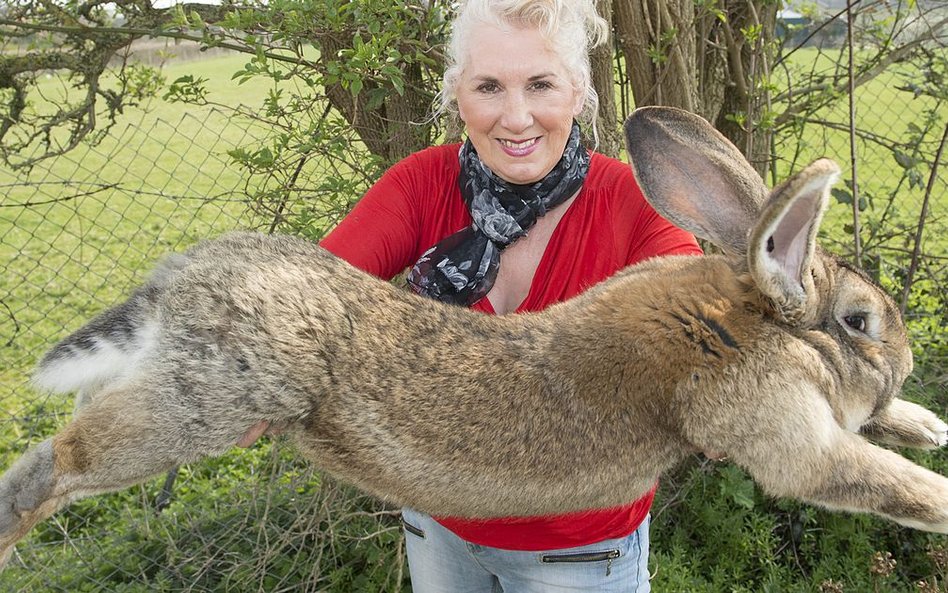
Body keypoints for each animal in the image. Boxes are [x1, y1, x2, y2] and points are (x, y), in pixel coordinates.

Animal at [1, 107, 948, 568]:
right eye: (861, 321)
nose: (904, 359)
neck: (745, 317)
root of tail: (173, 284)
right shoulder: (781, 429)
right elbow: (876, 479)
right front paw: (940, 491)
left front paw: (929, 423)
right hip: (201, 404)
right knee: (59, 463)